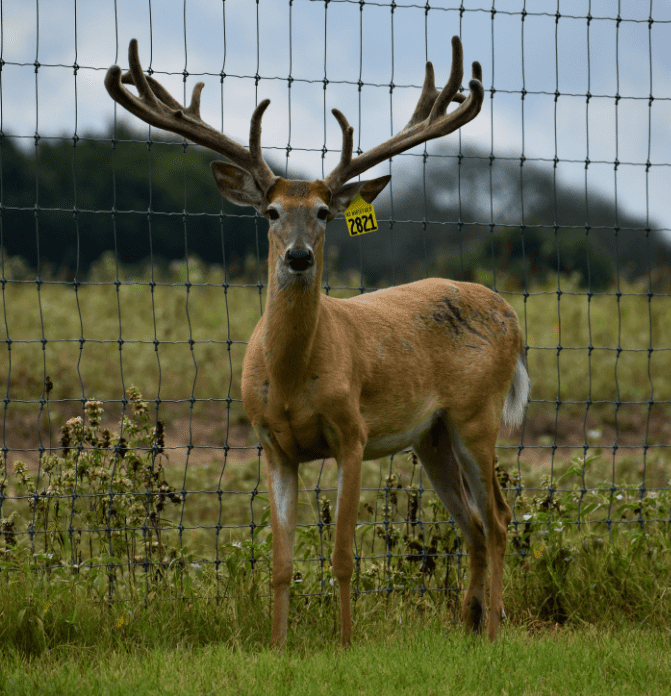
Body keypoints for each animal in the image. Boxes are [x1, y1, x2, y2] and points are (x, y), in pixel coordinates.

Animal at [106, 35, 530, 647]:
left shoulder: (352, 433)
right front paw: (279, 646)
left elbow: (343, 555)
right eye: (272, 211)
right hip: (433, 434)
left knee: (497, 518)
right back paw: (467, 625)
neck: (289, 378)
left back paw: (494, 630)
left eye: (326, 212)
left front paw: (346, 643)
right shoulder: (273, 444)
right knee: (471, 521)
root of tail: (510, 315)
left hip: (479, 412)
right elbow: (281, 563)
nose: (299, 256)